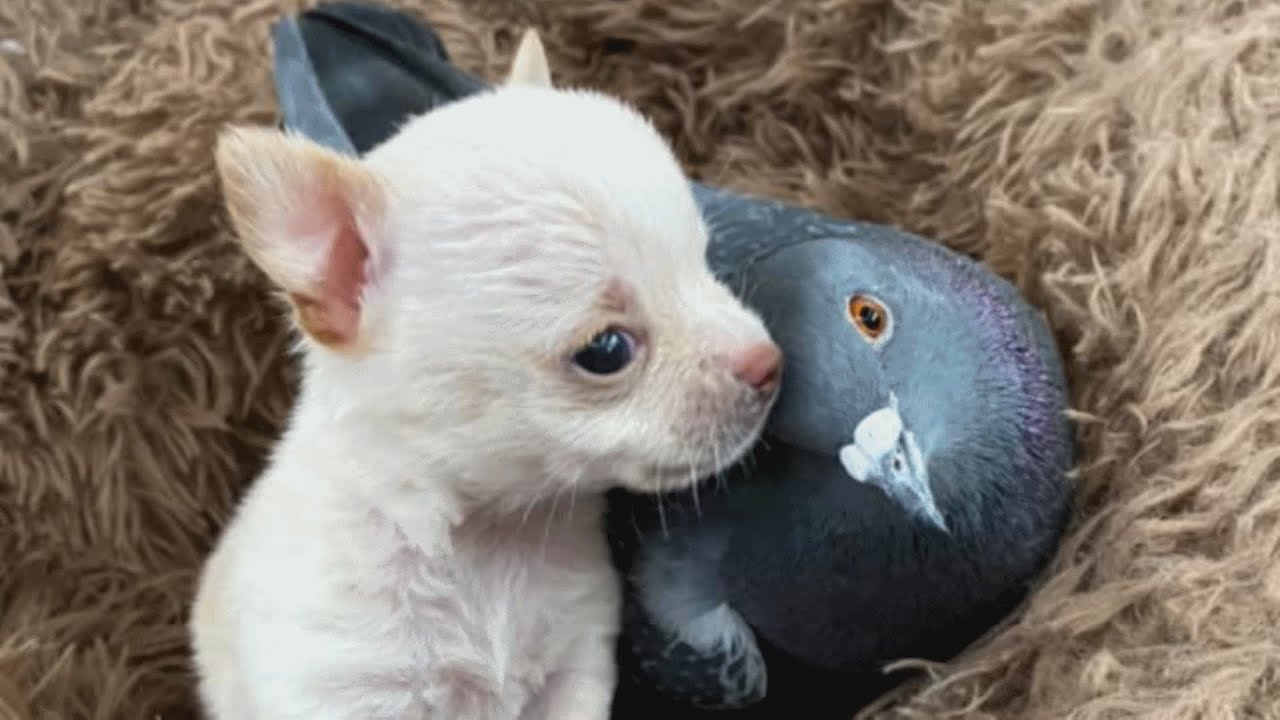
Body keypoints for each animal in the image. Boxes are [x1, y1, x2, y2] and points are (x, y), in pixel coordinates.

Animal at [186, 28, 778, 717]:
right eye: (606, 350)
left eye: (706, 264)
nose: (770, 362)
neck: (488, 544)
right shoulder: (341, 690)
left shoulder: (575, 668)